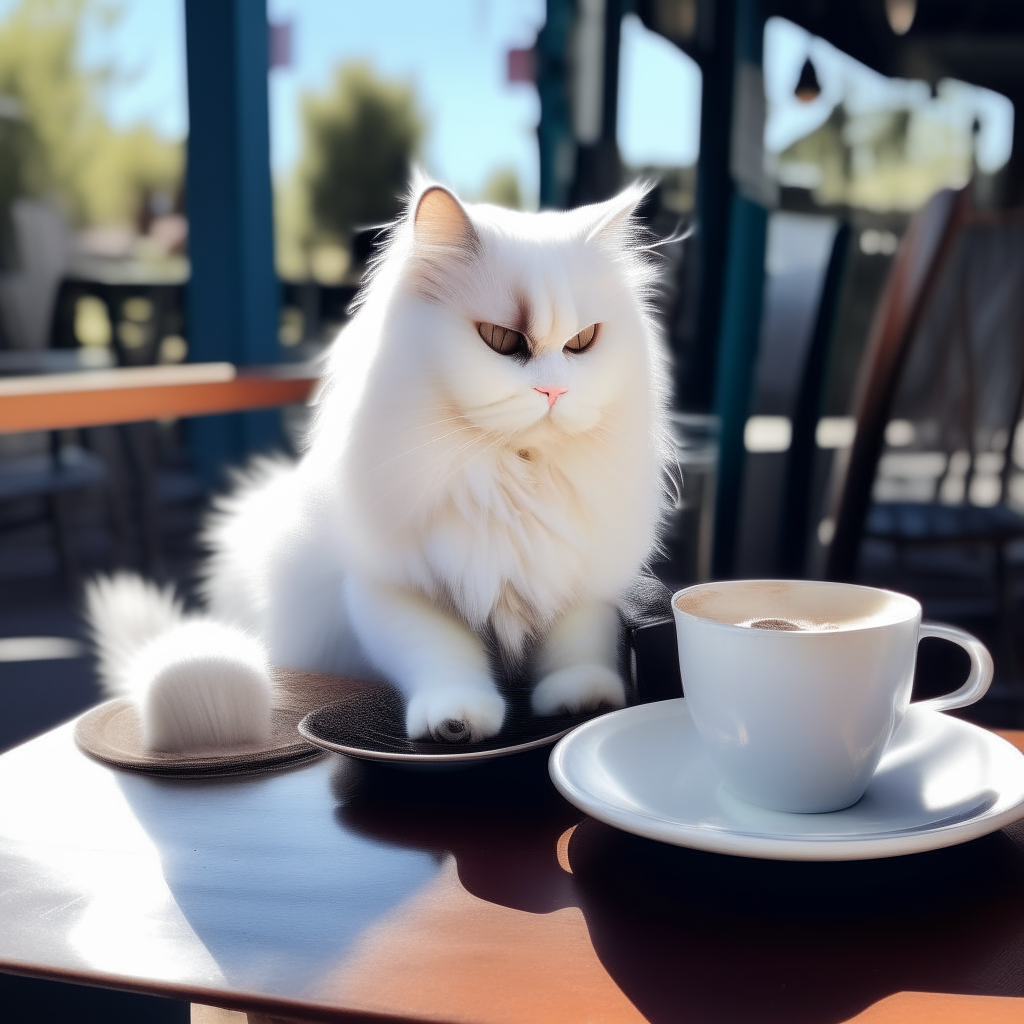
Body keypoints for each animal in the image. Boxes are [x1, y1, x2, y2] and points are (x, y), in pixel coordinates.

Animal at [86, 180, 671, 749]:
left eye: (582, 342)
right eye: (502, 340)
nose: (555, 391)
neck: (510, 475)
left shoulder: (585, 585)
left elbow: (579, 647)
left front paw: (583, 700)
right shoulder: (393, 590)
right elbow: (442, 658)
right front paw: (455, 722)